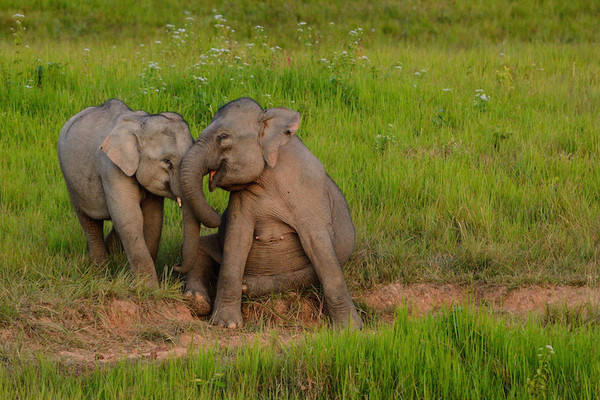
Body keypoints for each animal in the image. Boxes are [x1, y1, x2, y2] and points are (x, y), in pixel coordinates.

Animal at [56, 100, 219, 288]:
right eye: (167, 161)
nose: (176, 265)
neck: (141, 124)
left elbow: (152, 220)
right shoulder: (111, 168)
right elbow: (130, 218)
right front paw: (149, 289)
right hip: (71, 182)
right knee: (89, 222)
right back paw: (101, 272)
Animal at [176, 97, 364, 328]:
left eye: (223, 137)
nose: (217, 215)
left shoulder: (310, 192)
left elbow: (320, 247)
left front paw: (350, 329)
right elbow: (236, 241)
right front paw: (226, 324)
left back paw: (246, 286)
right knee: (200, 248)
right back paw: (197, 300)